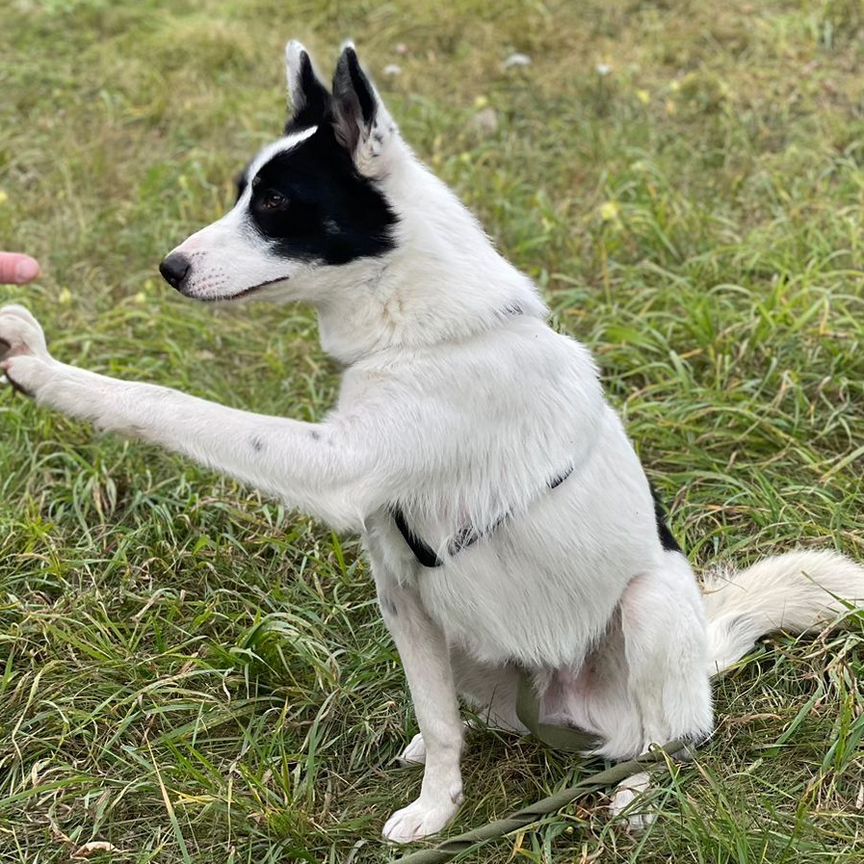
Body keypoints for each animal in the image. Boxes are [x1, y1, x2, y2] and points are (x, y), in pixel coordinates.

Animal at [1, 40, 864, 844]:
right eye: (242, 192)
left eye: (276, 201)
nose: (170, 267)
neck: (414, 331)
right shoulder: (402, 591)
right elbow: (442, 722)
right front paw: (439, 806)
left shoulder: (338, 467)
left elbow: (164, 403)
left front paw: (46, 373)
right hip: (464, 643)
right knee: (479, 714)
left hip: (649, 612)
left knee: (661, 742)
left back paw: (637, 794)